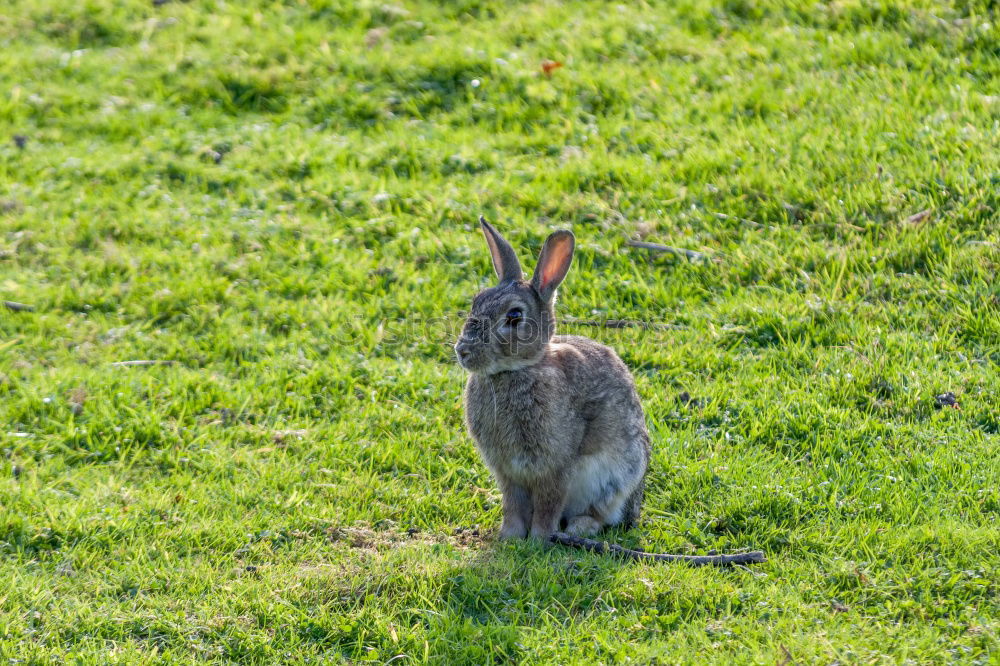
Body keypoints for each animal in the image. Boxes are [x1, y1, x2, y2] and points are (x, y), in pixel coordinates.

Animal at [456, 218, 656, 540]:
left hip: (617, 478)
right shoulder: (507, 471)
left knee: (602, 513)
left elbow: (549, 503)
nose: (462, 351)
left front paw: (538, 538)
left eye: (514, 316)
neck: (516, 370)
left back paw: (579, 527)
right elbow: (513, 504)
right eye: (477, 301)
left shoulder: (557, 465)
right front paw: (509, 537)